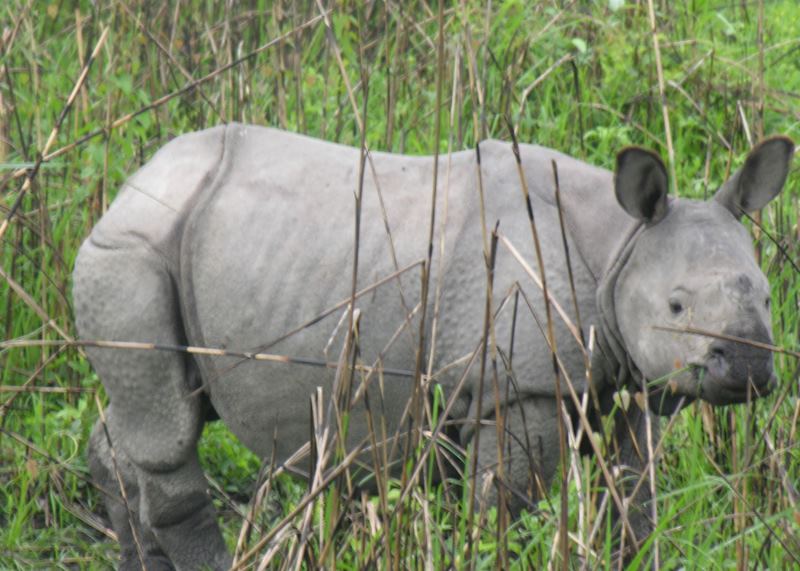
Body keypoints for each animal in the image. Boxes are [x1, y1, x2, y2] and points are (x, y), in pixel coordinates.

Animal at [73, 124, 793, 569]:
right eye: (676, 306)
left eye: (766, 296)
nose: (748, 366)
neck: (621, 244)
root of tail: (130, 183)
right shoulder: (515, 387)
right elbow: (505, 505)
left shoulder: (632, 381)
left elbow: (634, 499)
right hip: (131, 247)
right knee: (168, 431)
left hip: (168, 244)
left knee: (148, 418)